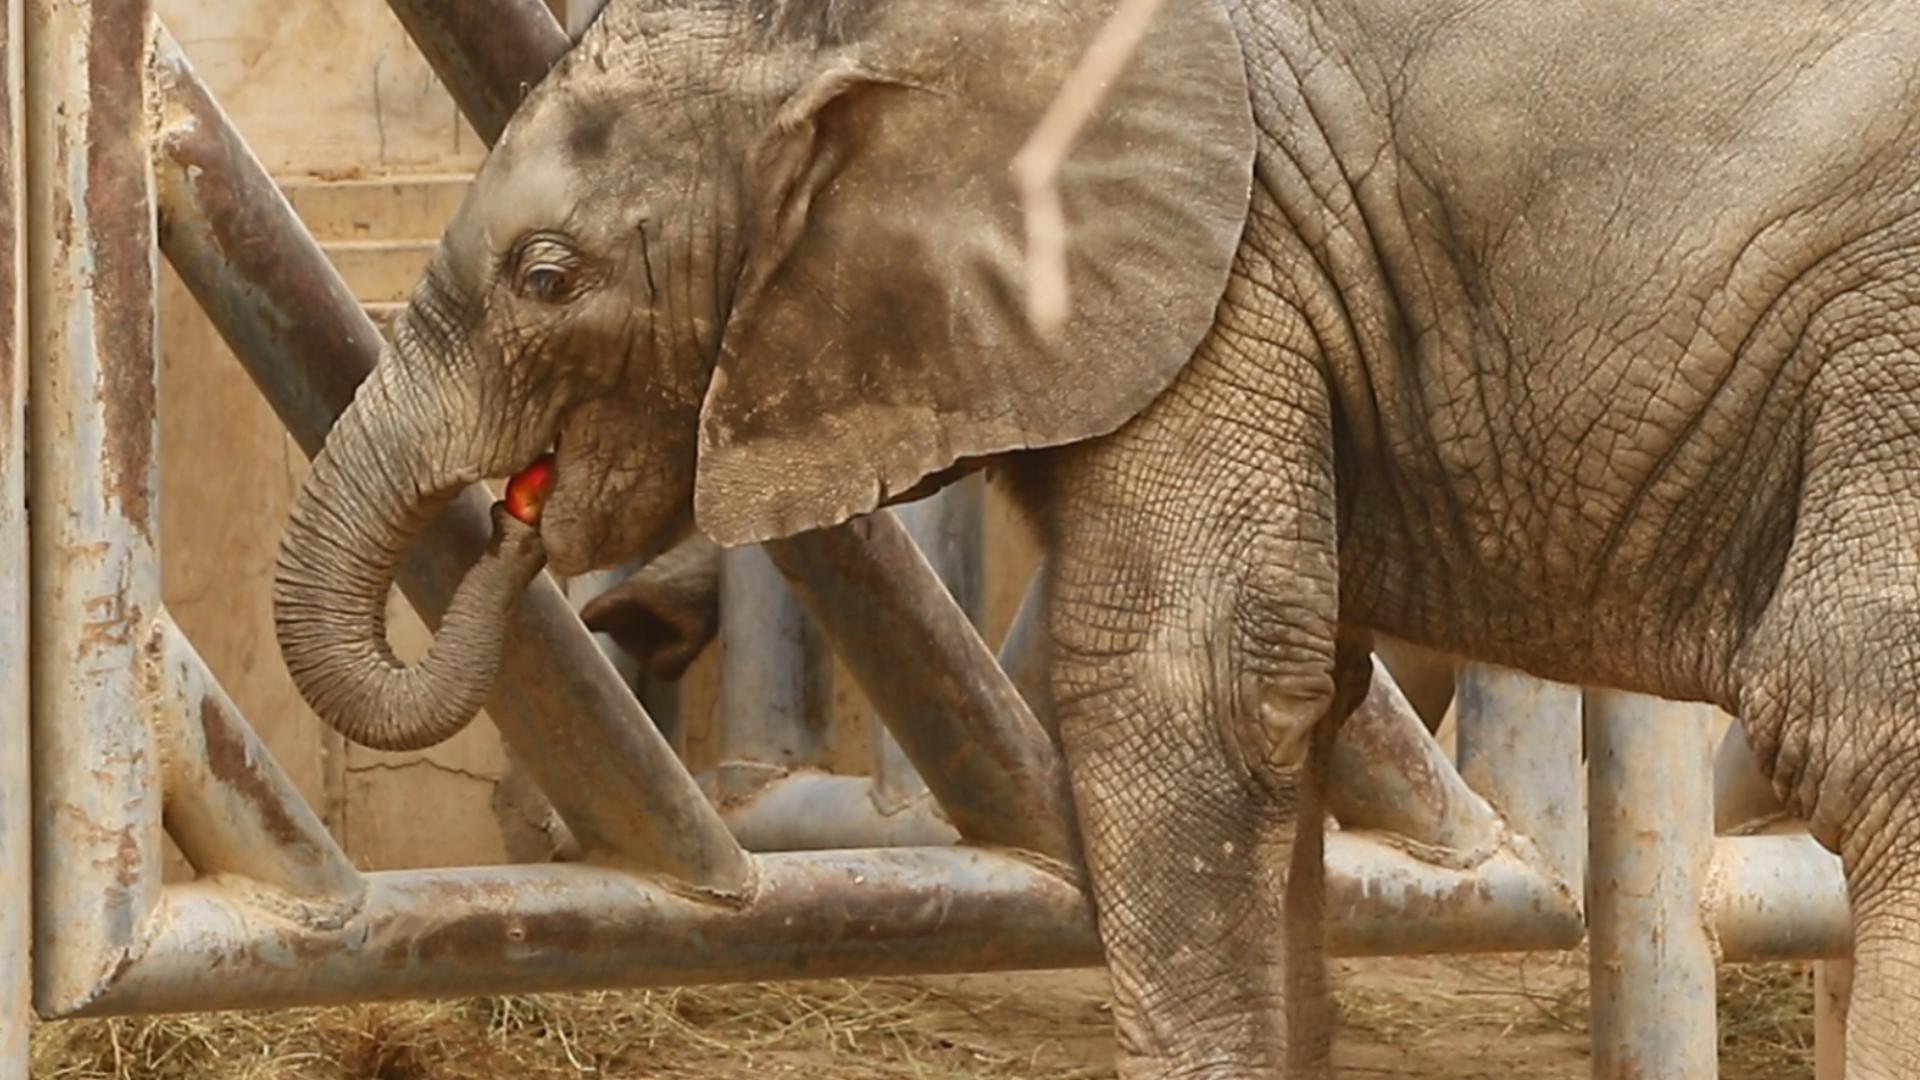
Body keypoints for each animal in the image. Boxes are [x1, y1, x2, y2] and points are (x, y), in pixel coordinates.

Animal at [271, 0, 1920, 1075]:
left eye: (547, 278)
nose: (516, 532)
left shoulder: (1225, 273)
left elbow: (1187, 696)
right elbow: (1297, 709)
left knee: (1865, 730)